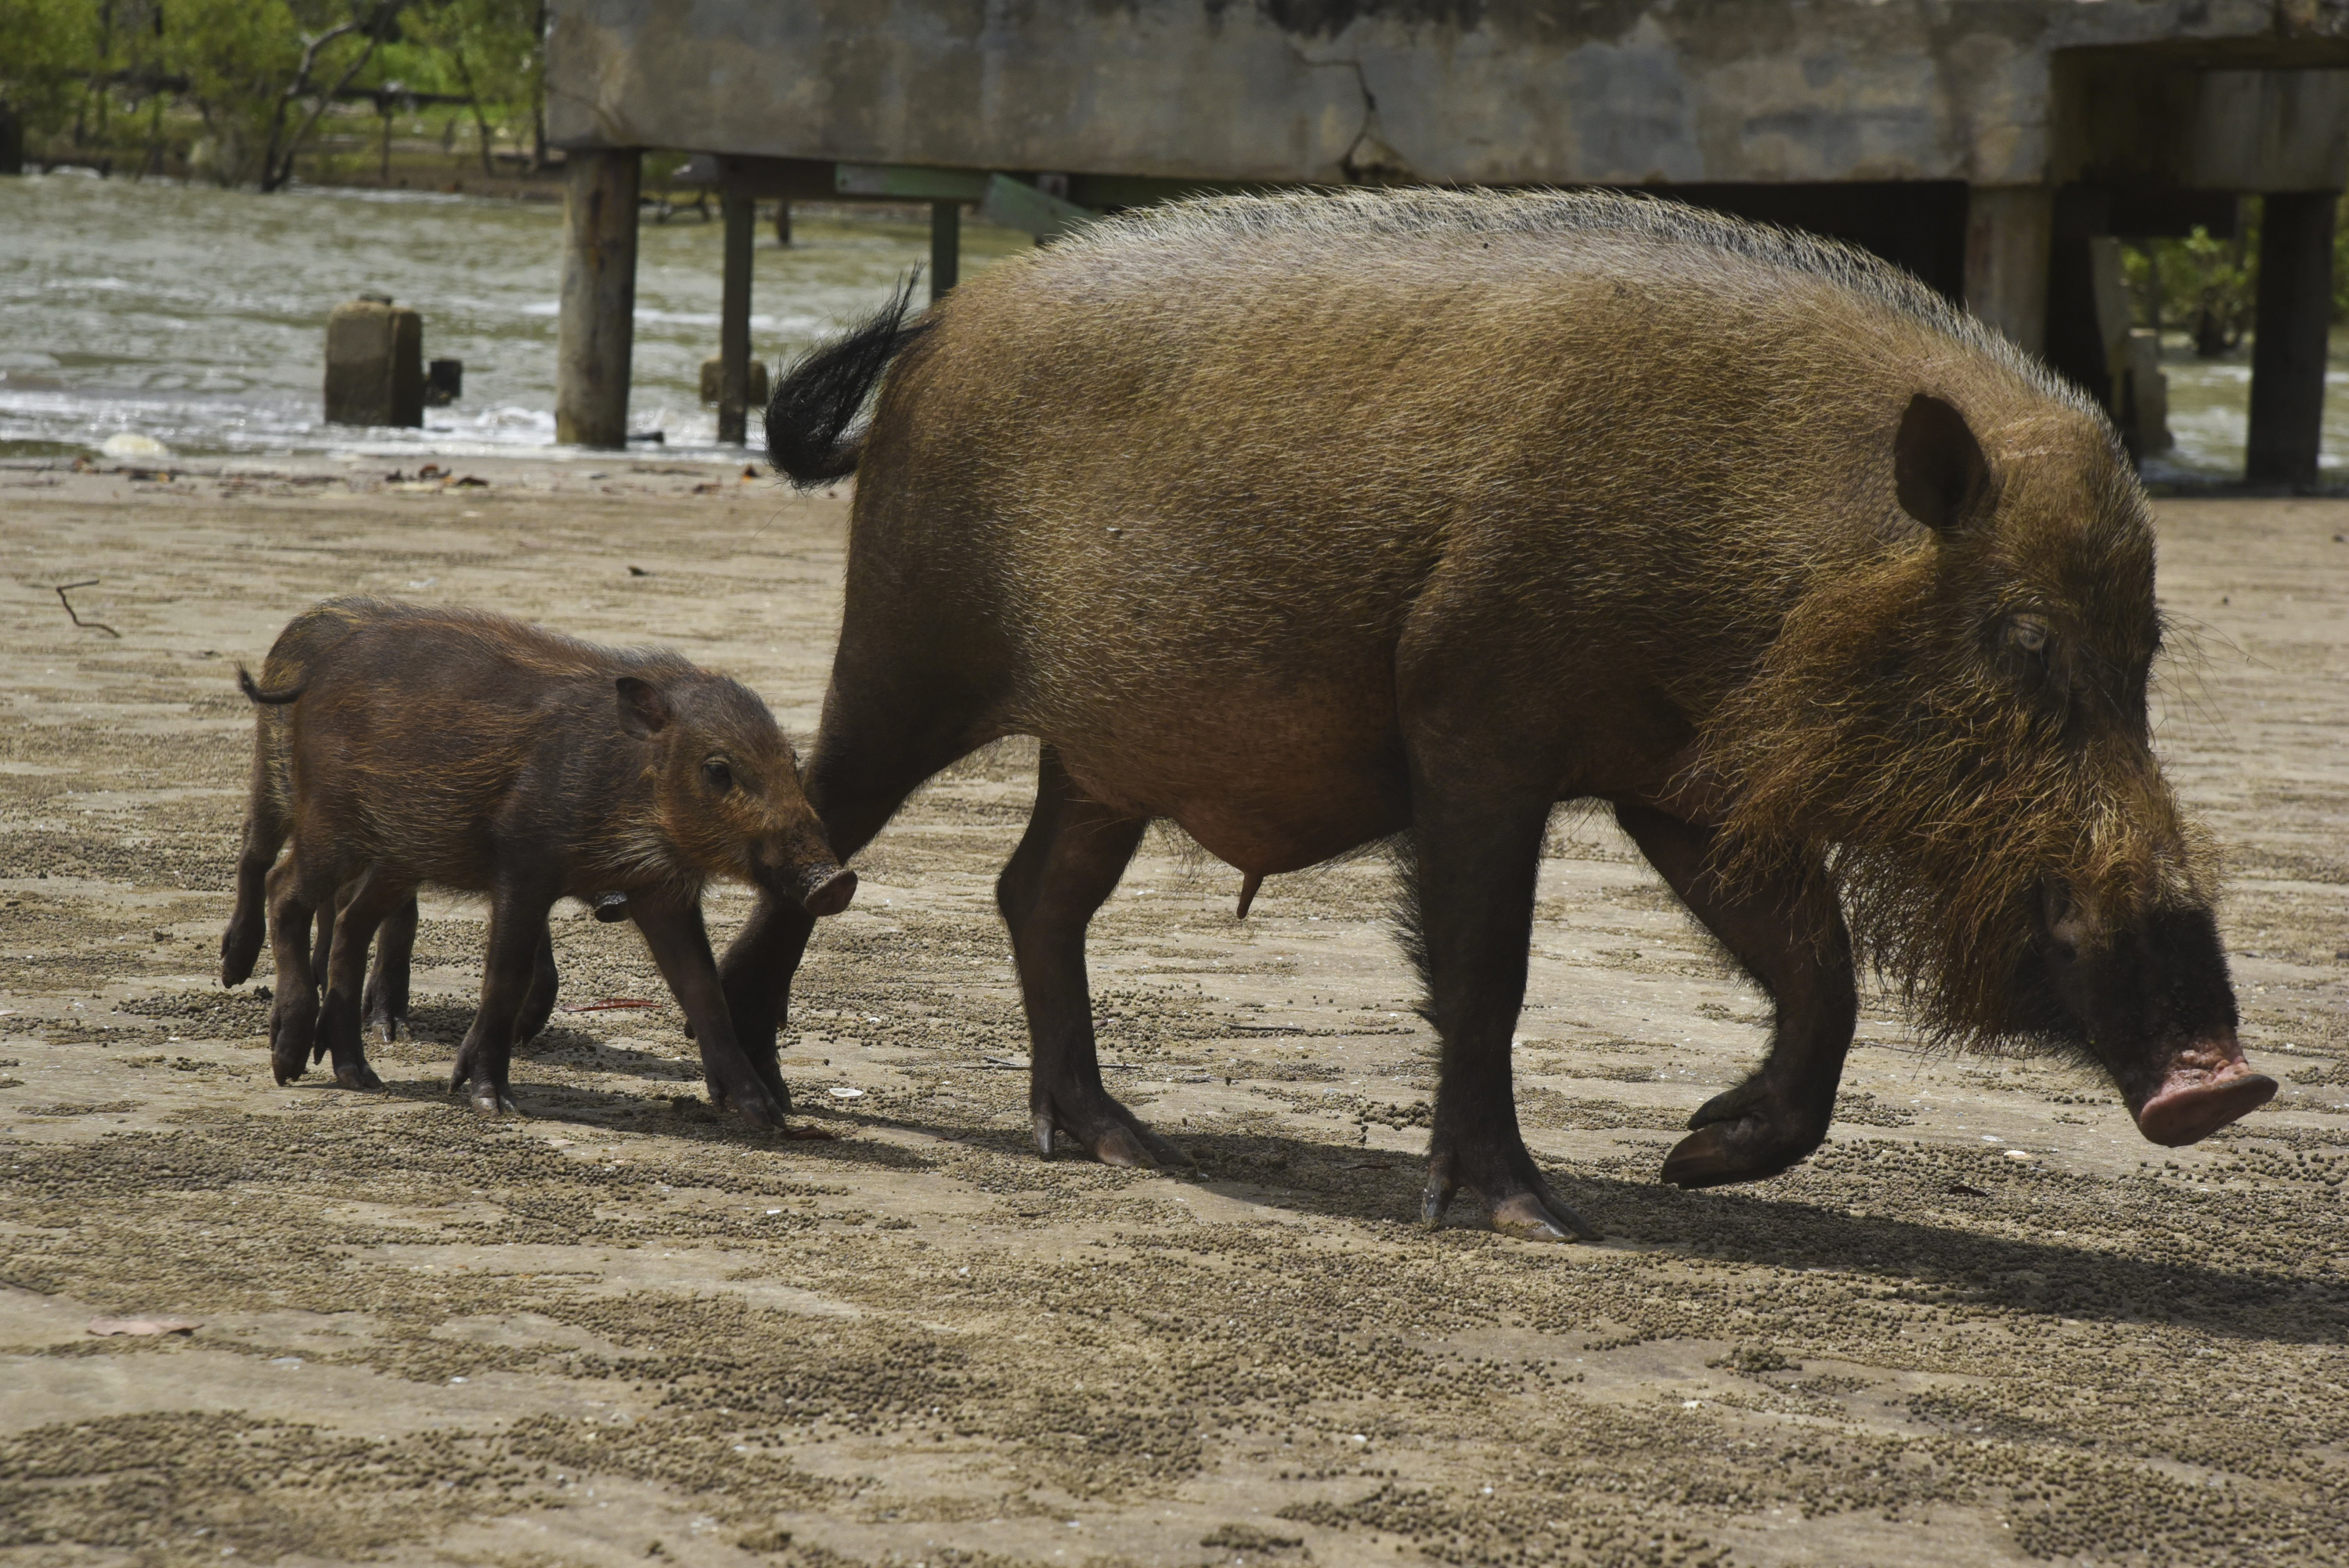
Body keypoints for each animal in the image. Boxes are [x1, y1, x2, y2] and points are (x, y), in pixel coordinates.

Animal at [714, 186, 2255, 1239]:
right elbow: (1486, 971)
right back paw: (761, 1098)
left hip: (1100, 753)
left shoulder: (1675, 778)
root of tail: (936, 339)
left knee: (1034, 889)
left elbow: (1819, 963)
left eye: (2145, 652)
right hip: (908, 647)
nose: (2228, 1080)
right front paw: (1534, 1217)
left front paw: (1692, 1158)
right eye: (2026, 640)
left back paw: (1126, 1144)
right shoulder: (1470, 713)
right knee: (829, 820)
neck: (1785, 550)